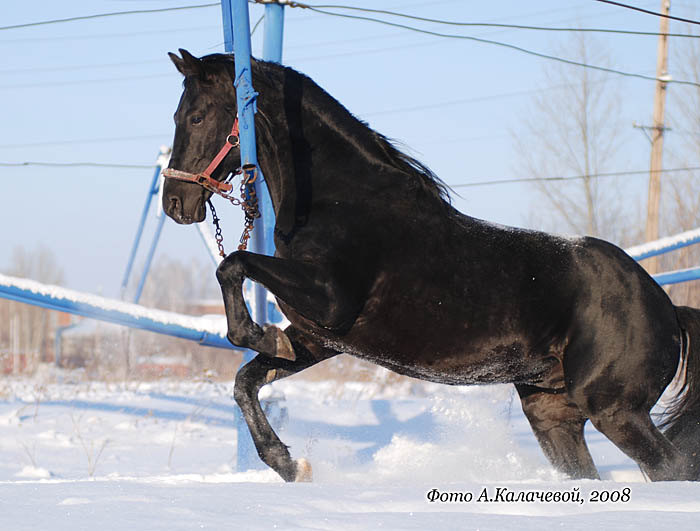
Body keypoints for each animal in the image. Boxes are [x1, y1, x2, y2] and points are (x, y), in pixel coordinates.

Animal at [163, 50, 700, 482]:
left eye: (195, 116)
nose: (174, 202)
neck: (341, 200)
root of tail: (668, 308)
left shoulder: (330, 300)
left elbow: (233, 265)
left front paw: (256, 333)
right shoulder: (320, 337)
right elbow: (245, 382)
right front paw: (290, 465)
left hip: (615, 409)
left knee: (672, 468)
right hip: (553, 412)